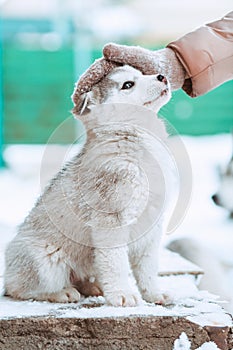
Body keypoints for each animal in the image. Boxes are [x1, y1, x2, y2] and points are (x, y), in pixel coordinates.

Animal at [4, 66, 177, 306]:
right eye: (128, 84)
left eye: (141, 73)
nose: (162, 76)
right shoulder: (111, 222)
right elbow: (116, 263)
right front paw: (123, 294)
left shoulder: (152, 224)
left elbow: (148, 267)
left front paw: (154, 294)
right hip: (46, 259)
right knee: (20, 289)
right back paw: (62, 292)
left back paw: (92, 287)